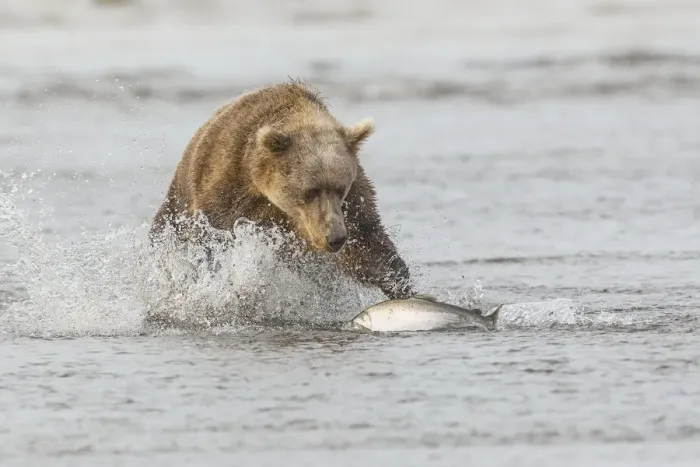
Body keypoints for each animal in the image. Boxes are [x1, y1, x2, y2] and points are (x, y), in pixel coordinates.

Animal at [149, 80, 414, 301]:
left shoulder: (353, 200)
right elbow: (212, 240)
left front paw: (404, 287)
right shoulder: (229, 189)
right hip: (177, 201)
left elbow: (368, 244)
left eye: (340, 188)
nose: (335, 237)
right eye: (310, 190)